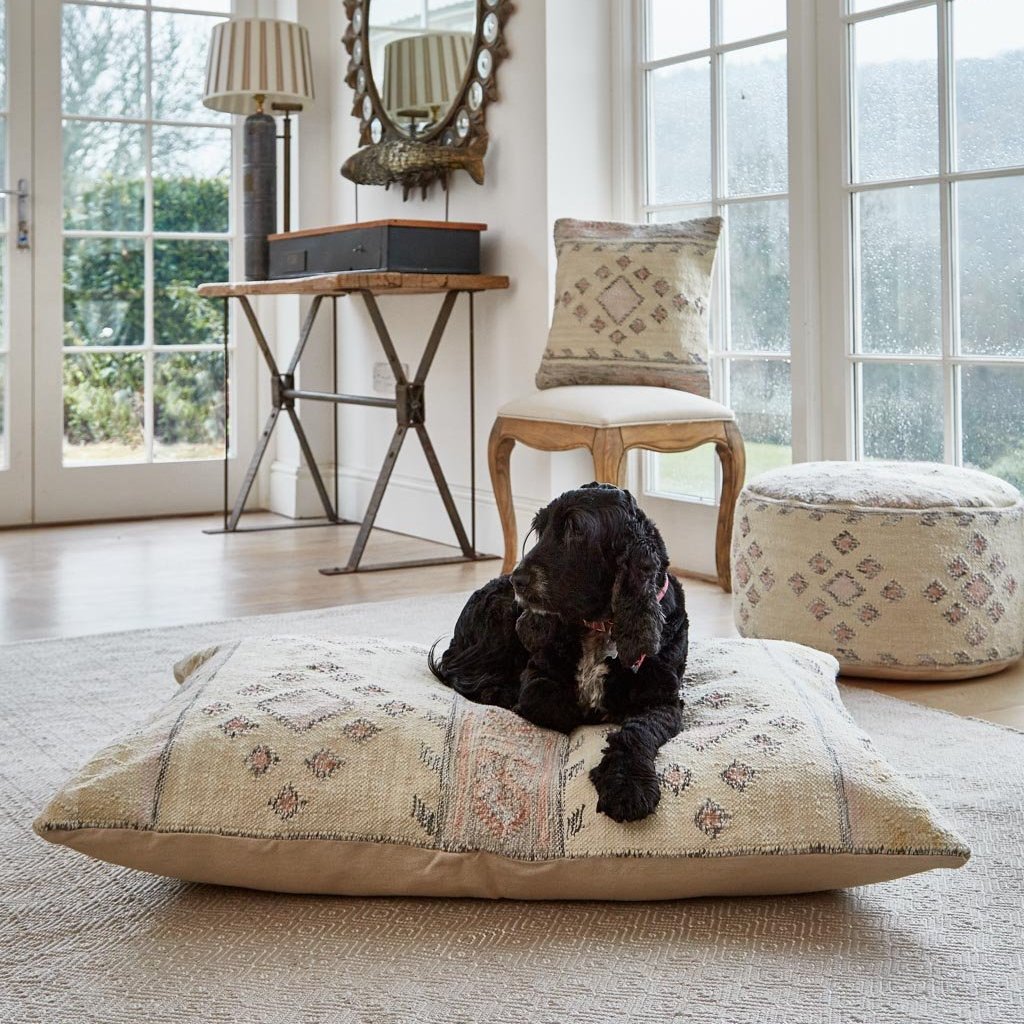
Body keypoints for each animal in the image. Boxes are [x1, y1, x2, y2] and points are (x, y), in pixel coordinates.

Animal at [425, 481, 688, 823]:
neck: (601, 623)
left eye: (575, 529)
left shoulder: (662, 699)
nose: (518, 580)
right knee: (462, 671)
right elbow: (550, 704)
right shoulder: (539, 675)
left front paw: (628, 785)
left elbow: (638, 730)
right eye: (541, 528)